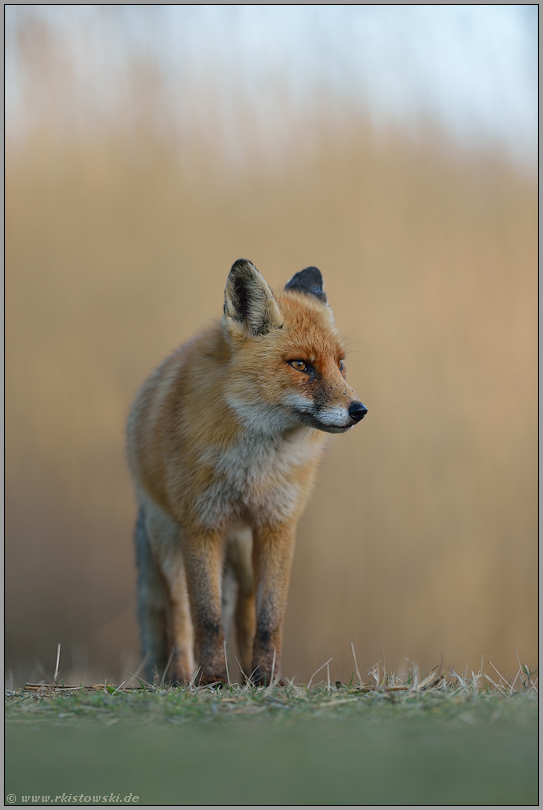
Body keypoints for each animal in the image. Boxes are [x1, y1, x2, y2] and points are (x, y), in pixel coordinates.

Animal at [125, 258, 368, 680]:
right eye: (301, 365)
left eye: (340, 365)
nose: (359, 410)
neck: (253, 468)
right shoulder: (200, 525)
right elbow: (206, 618)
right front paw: (212, 680)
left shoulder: (278, 526)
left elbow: (270, 619)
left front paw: (267, 678)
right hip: (166, 539)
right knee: (178, 613)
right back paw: (183, 676)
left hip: (244, 549)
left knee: (245, 611)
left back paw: (250, 675)